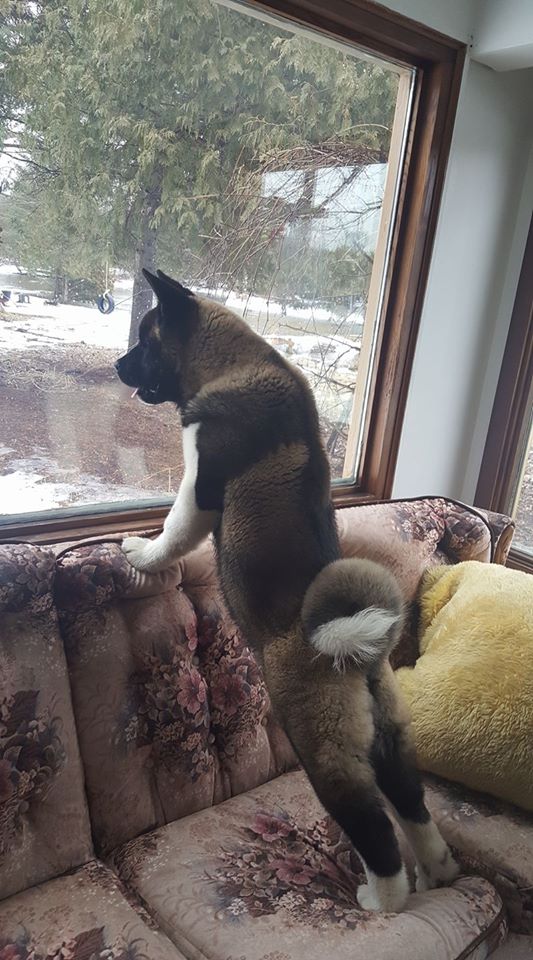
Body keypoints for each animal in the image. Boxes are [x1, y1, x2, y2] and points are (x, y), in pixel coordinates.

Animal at [114, 266, 456, 912]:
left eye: (146, 343)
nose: (119, 365)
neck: (238, 360)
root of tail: (356, 654)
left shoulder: (200, 487)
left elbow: (174, 533)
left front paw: (143, 555)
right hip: (391, 745)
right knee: (414, 809)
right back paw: (438, 872)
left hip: (324, 754)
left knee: (376, 832)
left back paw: (382, 900)